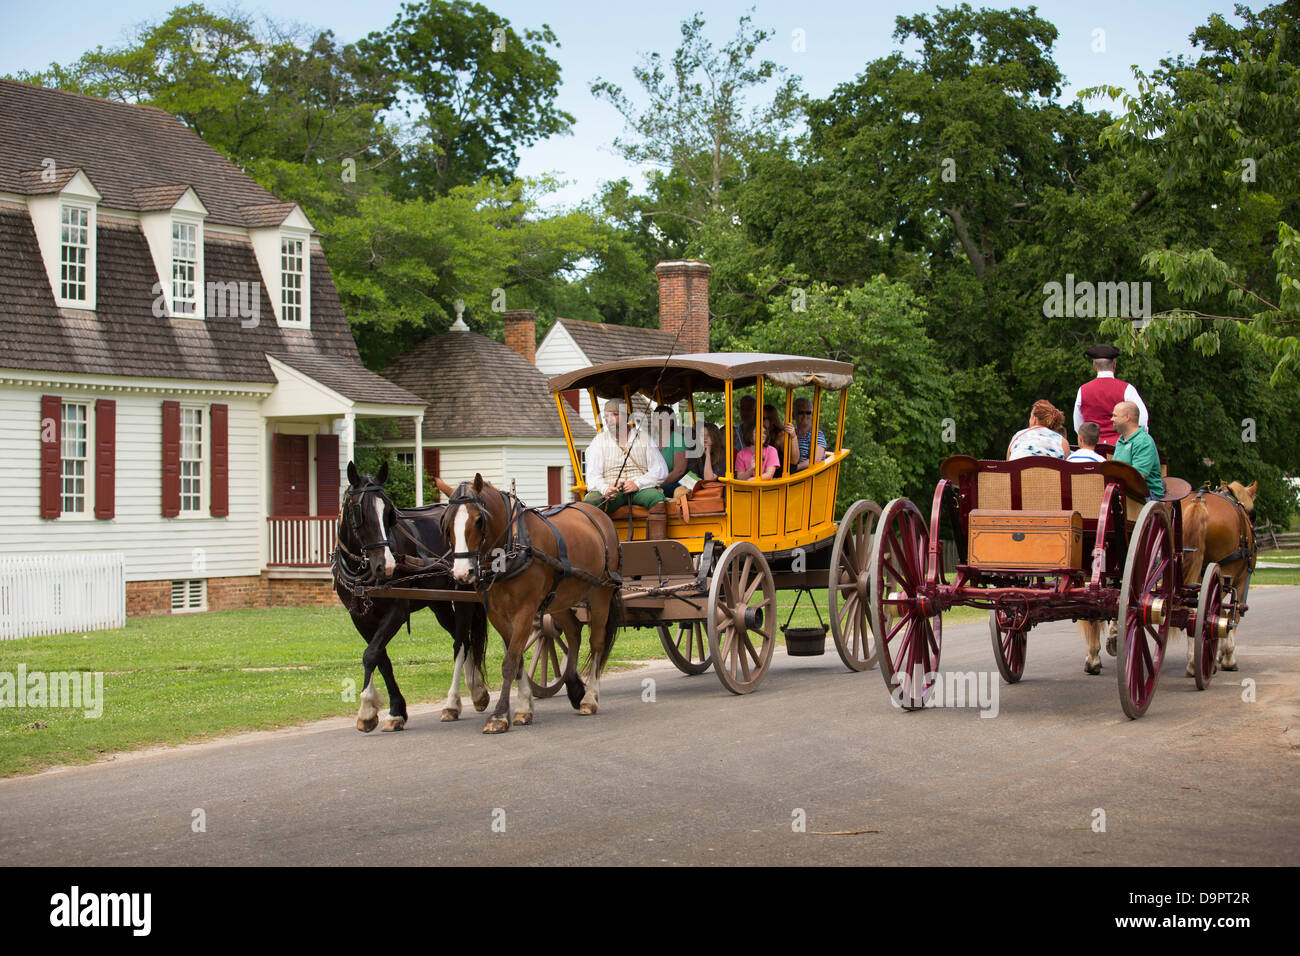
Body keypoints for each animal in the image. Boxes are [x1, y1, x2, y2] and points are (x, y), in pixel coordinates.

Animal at [335, 463, 491, 733]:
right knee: (464, 639)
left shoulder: (397, 611)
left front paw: (367, 708)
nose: (385, 566)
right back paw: (477, 691)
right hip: (439, 604)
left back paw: (454, 702)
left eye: (389, 513)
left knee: (461, 643)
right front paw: (393, 710)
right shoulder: (359, 617)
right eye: (359, 512)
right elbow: (380, 657)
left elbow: (371, 654)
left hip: (462, 596)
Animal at [434, 476, 621, 738]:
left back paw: (590, 698)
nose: (462, 573)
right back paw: (575, 688)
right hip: (560, 598)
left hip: (601, 592)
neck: (513, 546)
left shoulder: (525, 610)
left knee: (597, 643)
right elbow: (518, 659)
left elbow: (510, 662)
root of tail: (598, 513)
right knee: (573, 632)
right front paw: (523, 707)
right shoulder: (497, 614)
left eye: (479, 520)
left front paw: (499, 716)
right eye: (446, 522)